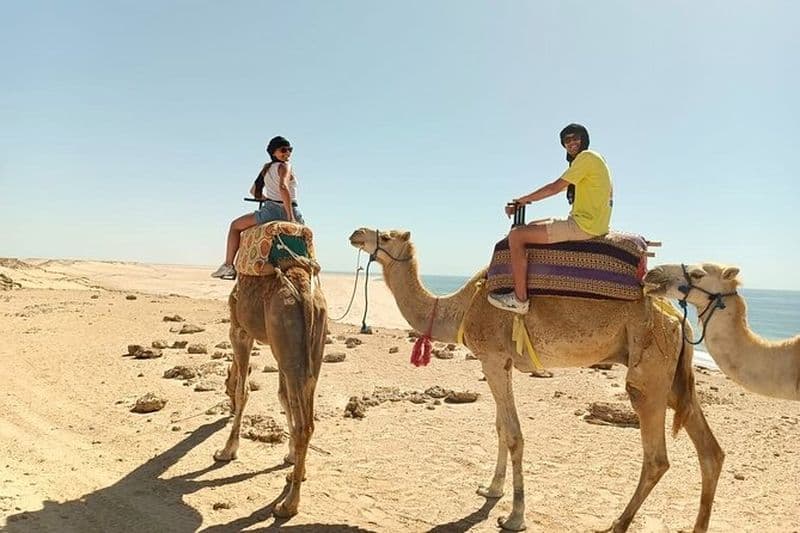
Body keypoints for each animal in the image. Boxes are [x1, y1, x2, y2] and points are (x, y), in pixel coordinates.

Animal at [213, 262, 327, 518]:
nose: (227, 408)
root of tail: (304, 292)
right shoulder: (277, 349)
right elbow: (283, 398)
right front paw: (292, 457)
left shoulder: (239, 331)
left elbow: (243, 390)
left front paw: (227, 451)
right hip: (311, 347)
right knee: (306, 409)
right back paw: (294, 478)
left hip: (285, 335)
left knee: (305, 425)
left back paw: (288, 505)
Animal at [349, 228, 724, 532]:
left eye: (386, 237)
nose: (356, 233)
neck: (462, 307)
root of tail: (678, 318)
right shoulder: (499, 362)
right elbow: (501, 428)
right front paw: (491, 489)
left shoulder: (492, 357)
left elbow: (514, 435)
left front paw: (514, 517)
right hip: (673, 378)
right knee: (711, 451)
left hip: (649, 372)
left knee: (657, 456)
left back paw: (618, 523)